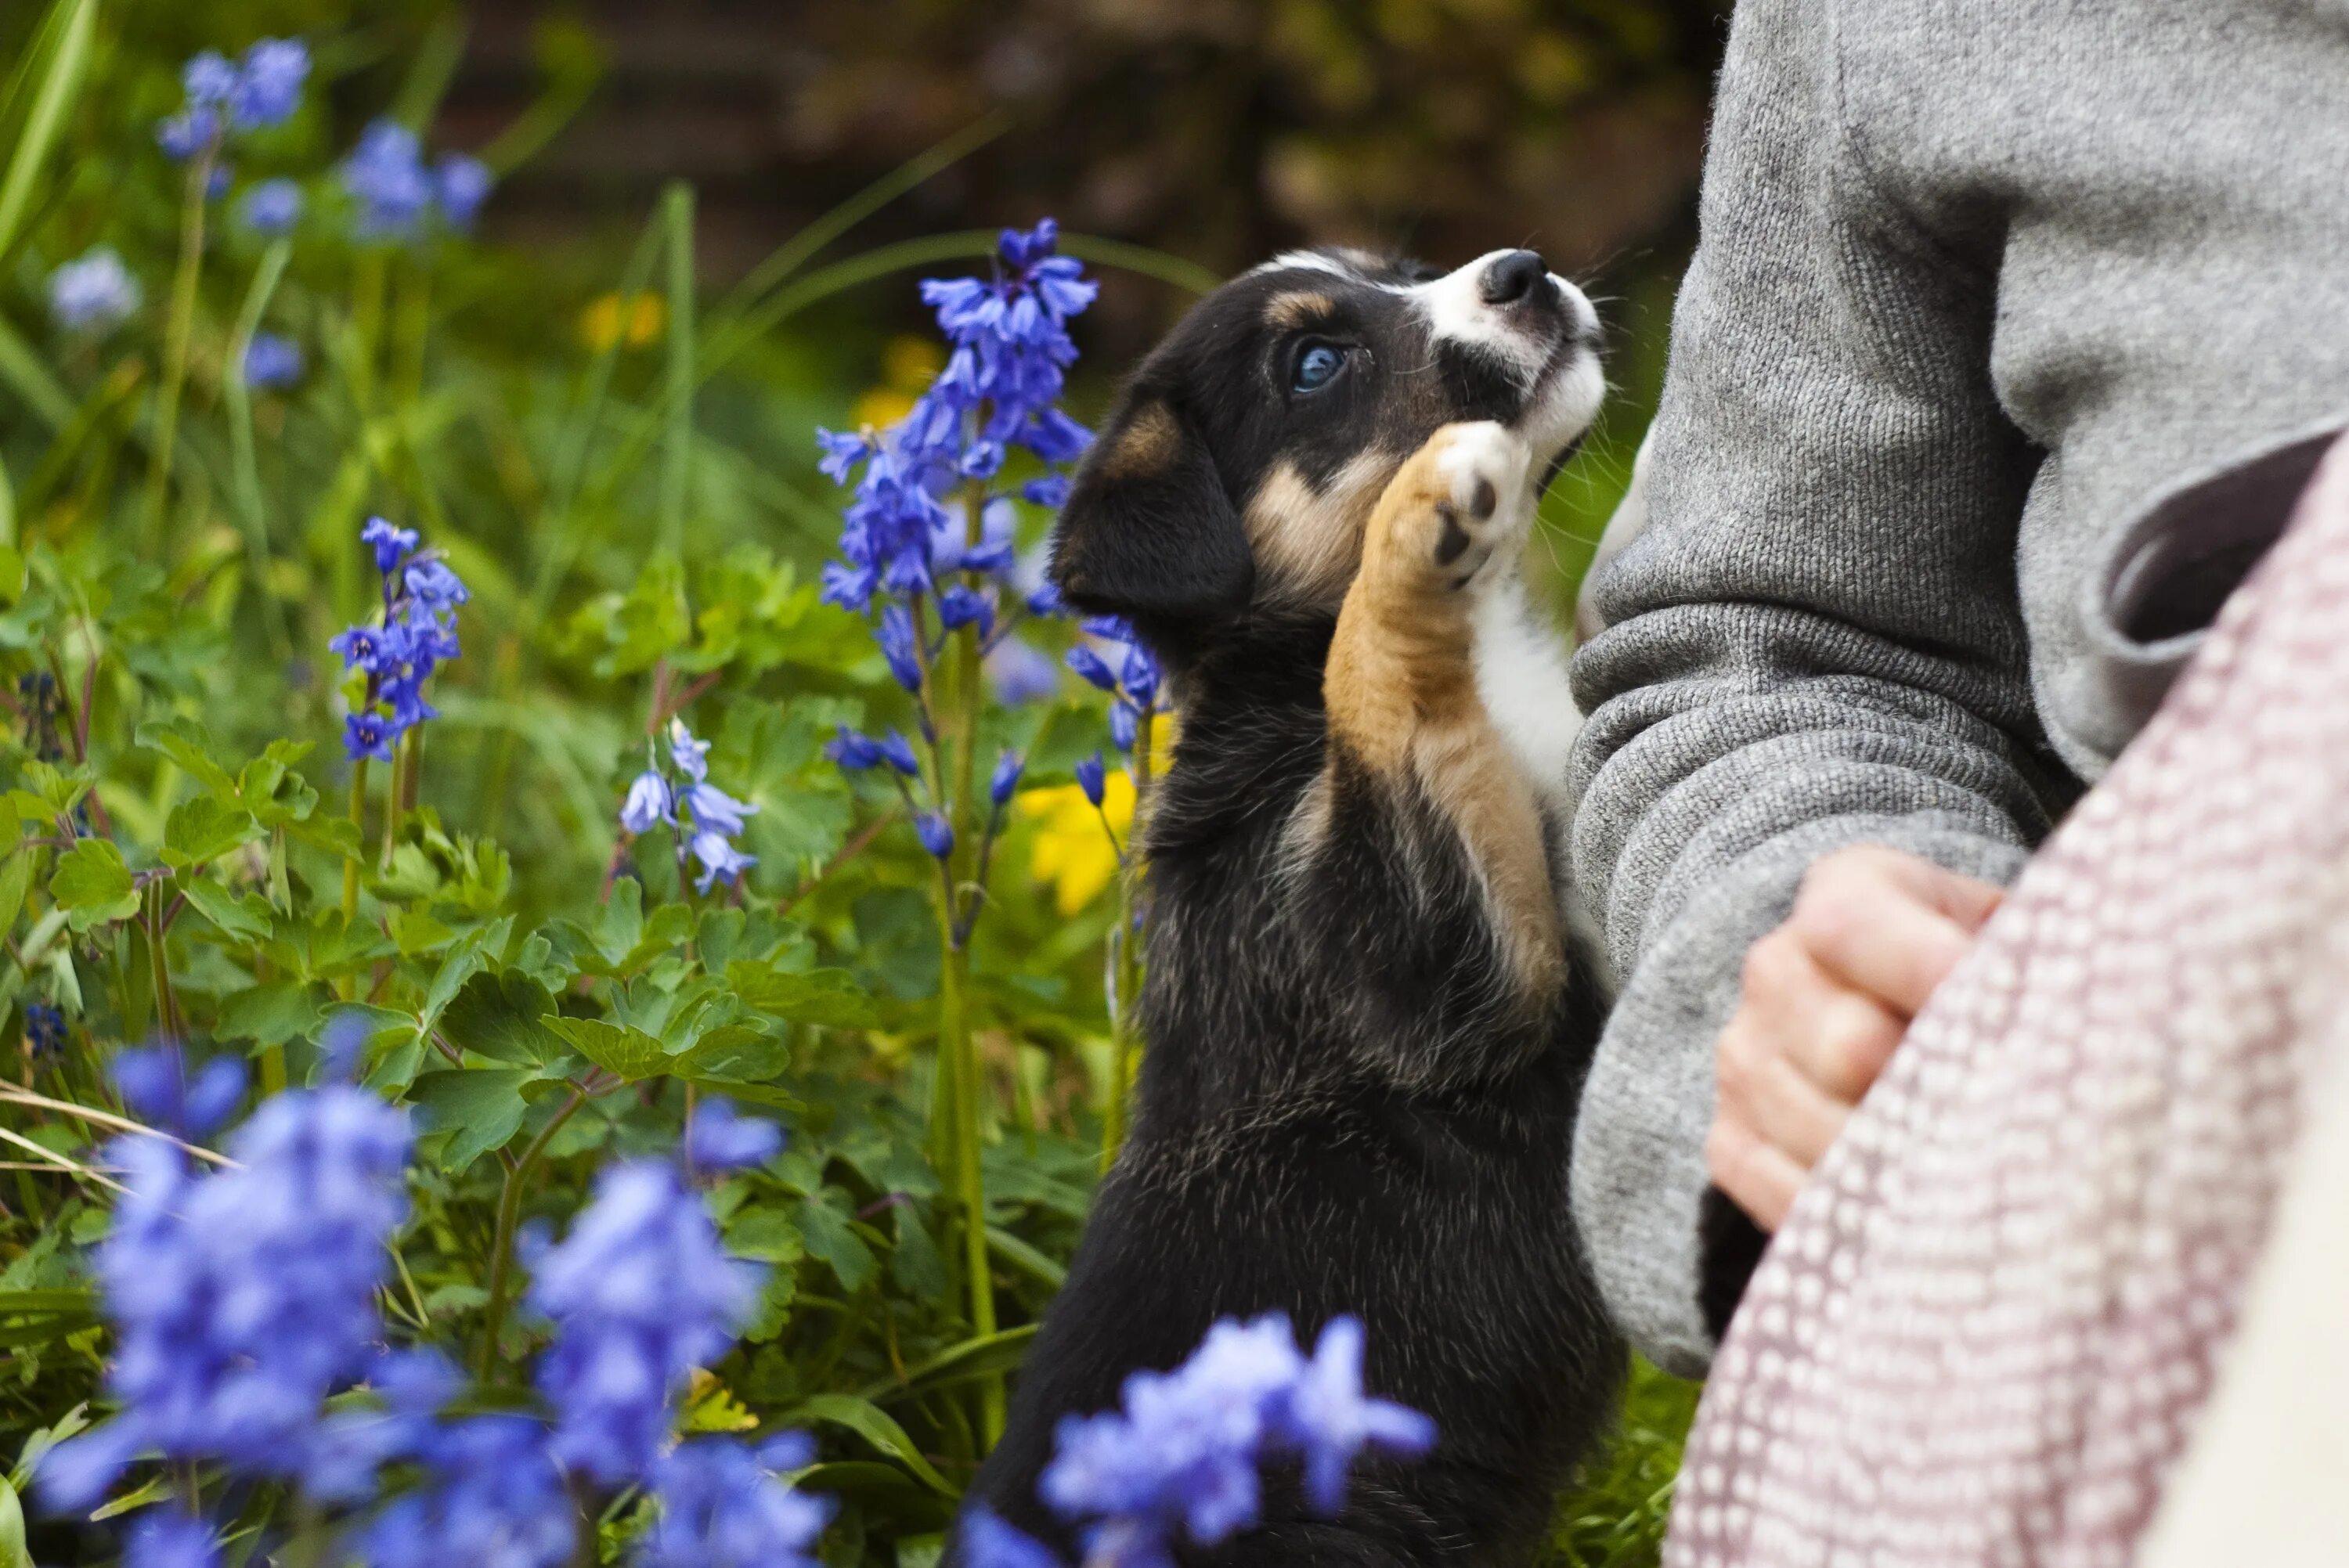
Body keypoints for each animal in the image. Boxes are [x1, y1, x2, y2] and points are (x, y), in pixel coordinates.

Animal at [958, 251, 1635, 1559]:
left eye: (1400, 273)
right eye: (1315, 363)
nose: (1522, 272)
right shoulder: (1430, 977)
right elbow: (1373, 681)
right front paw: (1415, 524)